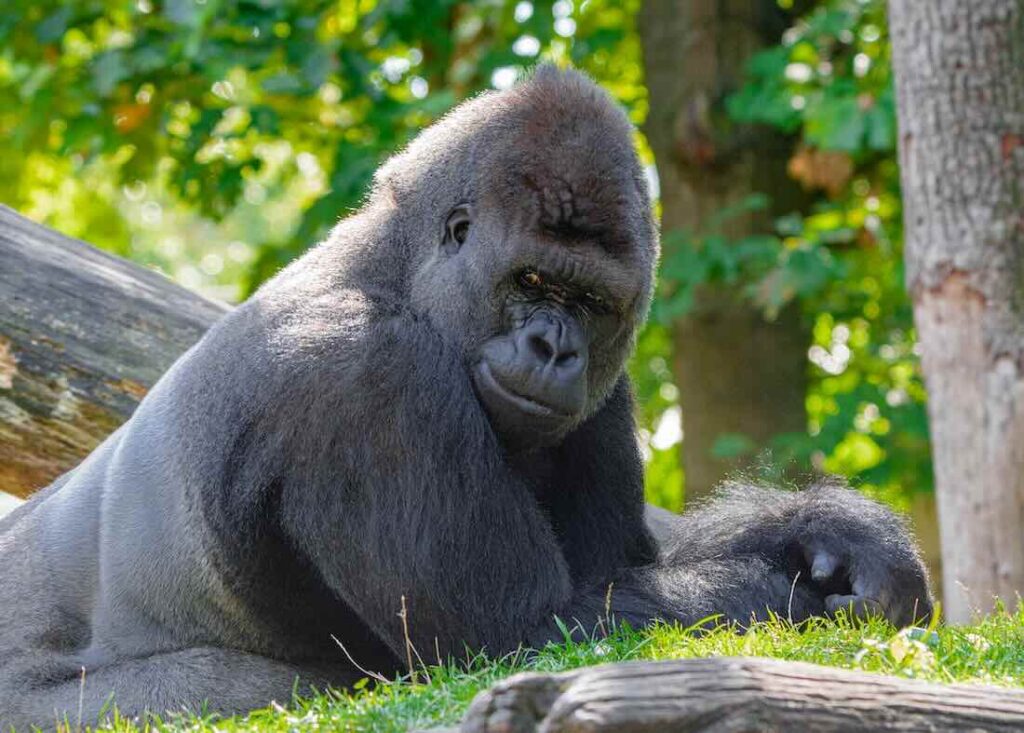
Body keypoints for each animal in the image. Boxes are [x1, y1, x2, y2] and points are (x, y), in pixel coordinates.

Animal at [0, 66, 930, 729]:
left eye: (590, 303)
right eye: (531, 282)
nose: (552, 348)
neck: (390, 267)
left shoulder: (605, 387)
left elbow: (616, 569)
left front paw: (835, 532)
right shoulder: (365, 376)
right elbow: (528, 631)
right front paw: (790, 589)